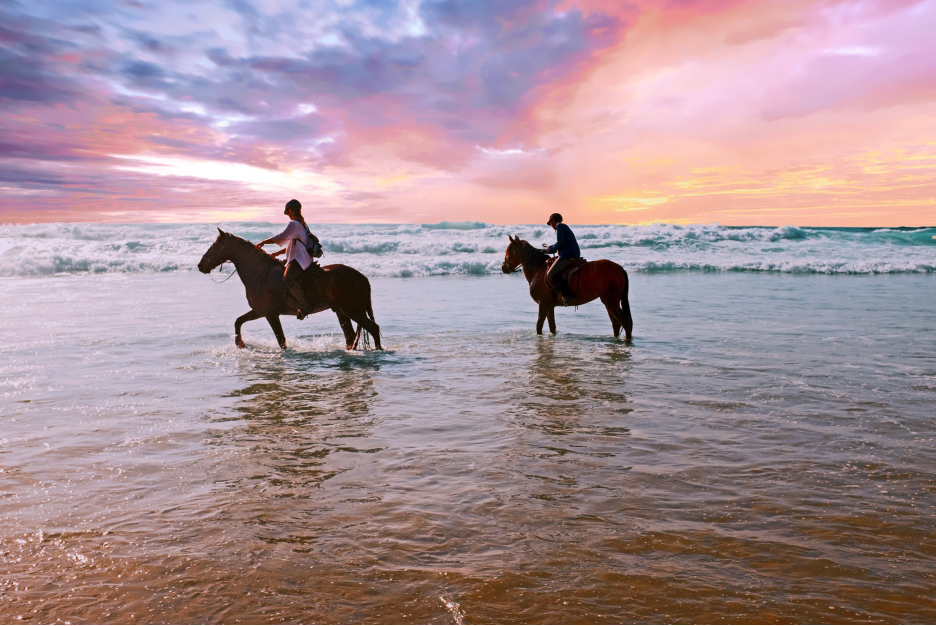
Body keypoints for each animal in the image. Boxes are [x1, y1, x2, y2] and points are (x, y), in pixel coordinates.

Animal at [199, 228, 382, 348]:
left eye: (215, 246)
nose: (201, 265)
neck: (261, 274)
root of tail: (362, 277)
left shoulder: (271, 314)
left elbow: (281, 340)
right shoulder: (259, 311)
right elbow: (238, 321)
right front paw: (240, 343)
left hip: (353, 311)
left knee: (373, 328)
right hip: (341, 312)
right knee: (350, 336)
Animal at [500, 234, 632, 342]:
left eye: (509, 251)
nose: (503, 268)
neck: (538, 270)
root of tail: (620, 268)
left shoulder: (543, 304)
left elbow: (539, 325)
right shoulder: (549, 306)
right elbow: (552, 327)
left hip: (611, 302)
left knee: (625, 322)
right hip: (609, 303)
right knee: (616, 324)